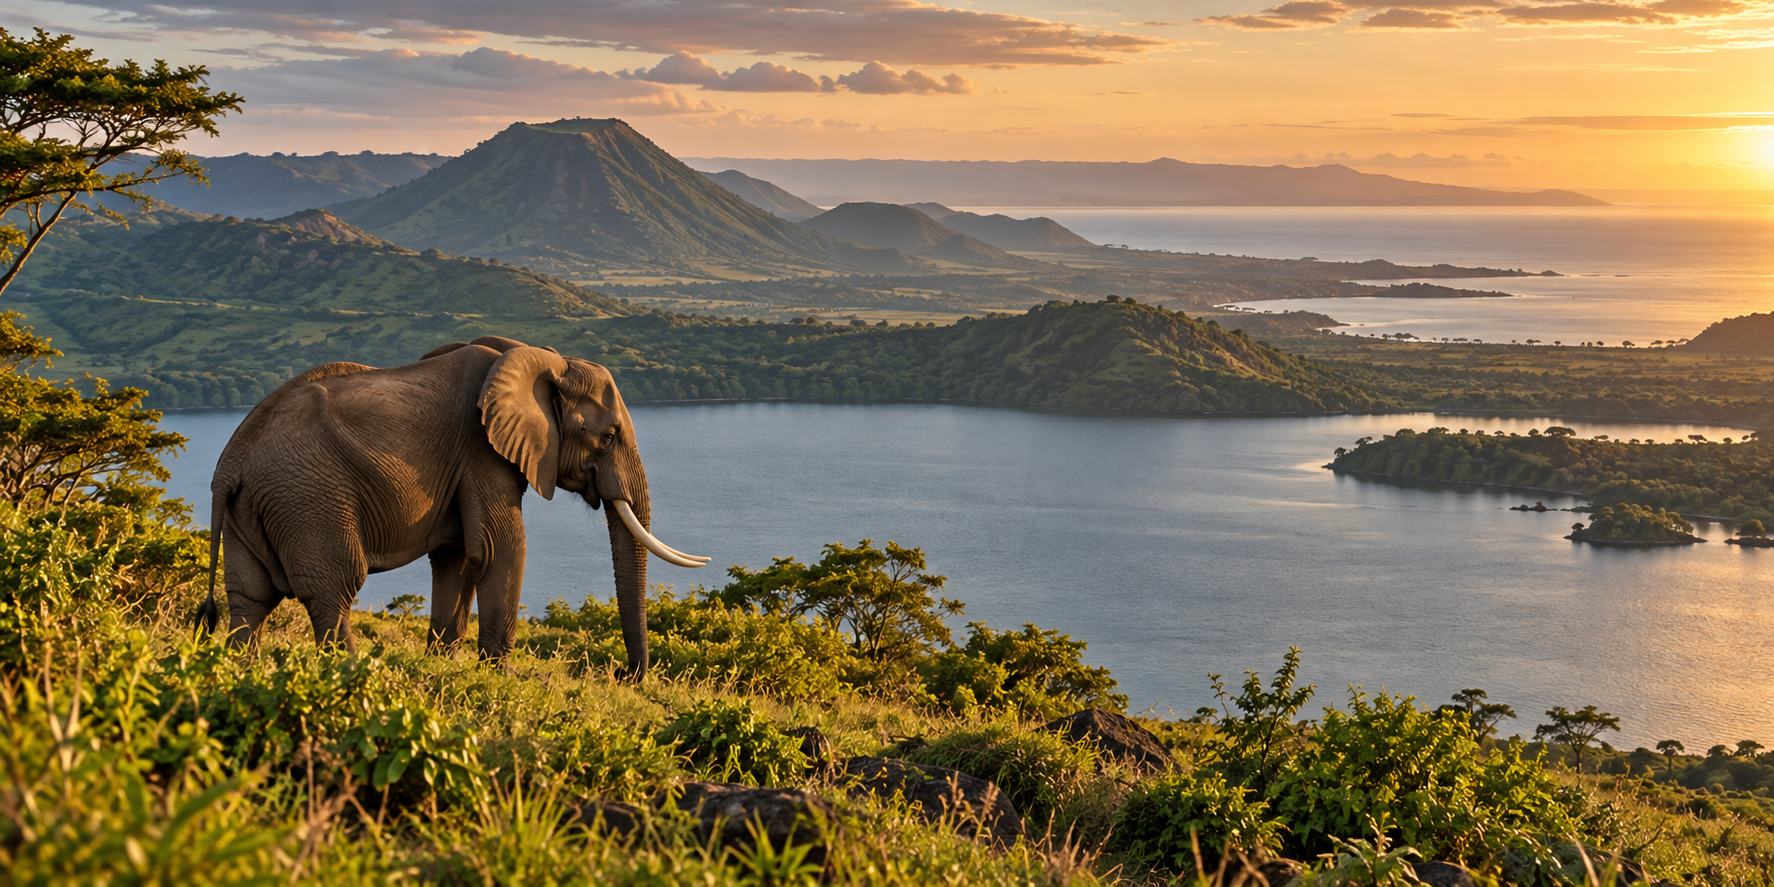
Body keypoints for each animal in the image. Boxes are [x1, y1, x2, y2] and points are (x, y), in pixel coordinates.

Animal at [195, 335, 707, 674]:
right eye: (610, 436)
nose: (623, 673)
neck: (543, 360)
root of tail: (230, 462)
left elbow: (457, 557)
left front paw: (442, 665)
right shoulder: (483, 450)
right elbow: (500, 548)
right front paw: (500, 677)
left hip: (255, 507)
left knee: (251, 598)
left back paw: (239, 672)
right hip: (309, 498)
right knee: (334, 589)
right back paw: (353, 676)